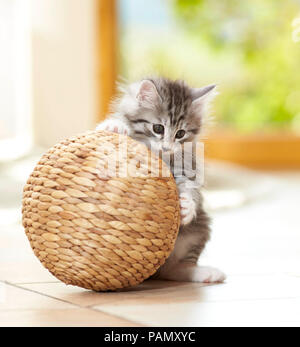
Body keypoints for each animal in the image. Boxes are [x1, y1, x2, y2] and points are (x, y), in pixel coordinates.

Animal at [97, 77, 226, 284]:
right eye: (158, 128)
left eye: (180, 133)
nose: (166, 148)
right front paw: (114, 126)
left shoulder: (187, 168)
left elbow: (191, 189)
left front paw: (187, 206)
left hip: (200, 228)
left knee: (173, 270)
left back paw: (204, 273)